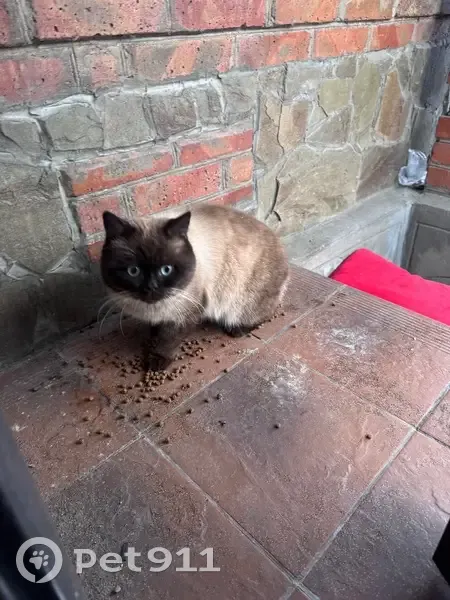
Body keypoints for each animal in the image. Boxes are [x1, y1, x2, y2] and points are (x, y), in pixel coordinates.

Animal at [101, 205, 289, 371]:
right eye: (133, 271)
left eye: (166, 270)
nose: (151, 288)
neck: (153, 309)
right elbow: (156, 329)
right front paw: (153, 334)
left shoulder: (186, 315)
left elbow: (168, 340)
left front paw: (157, 360)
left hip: (242, 301)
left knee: (263, 313)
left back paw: (237, 329)